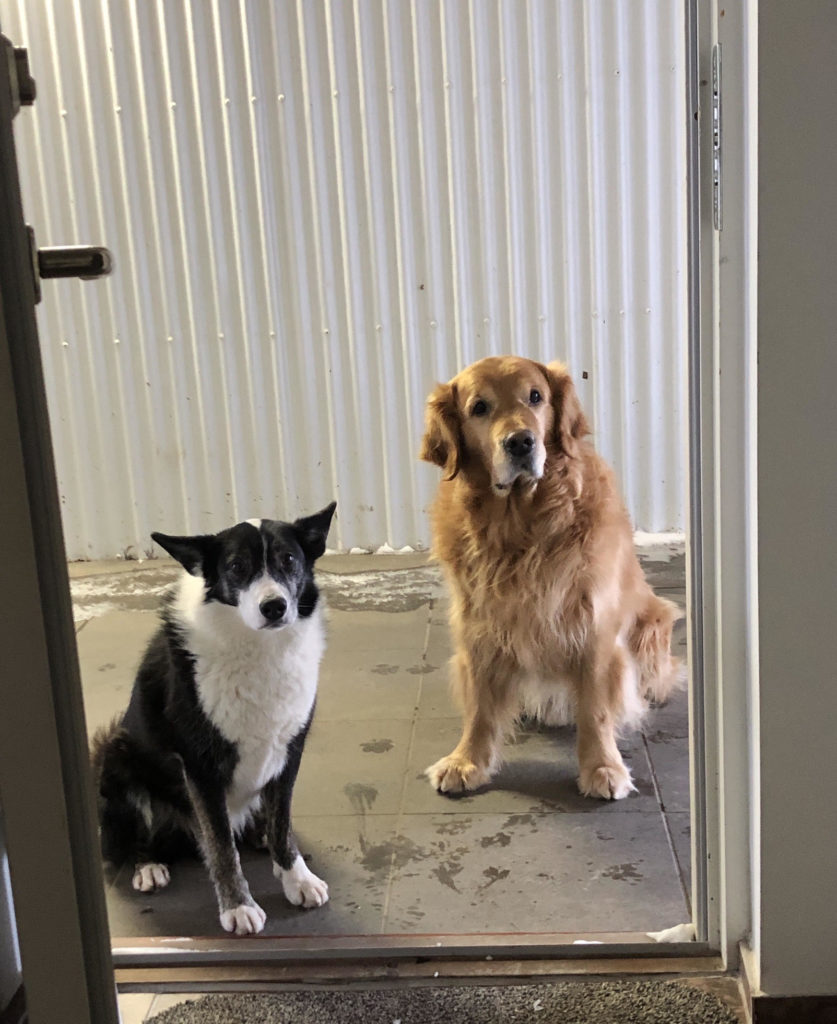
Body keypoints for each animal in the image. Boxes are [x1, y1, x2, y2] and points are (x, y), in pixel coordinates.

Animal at [90, 503, 336, 937]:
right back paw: (148, 865)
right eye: (236, 567)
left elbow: (283, 825)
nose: (274, 607)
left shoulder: (290, 752)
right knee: (129, 841)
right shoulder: (200, 768)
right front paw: (238, 907)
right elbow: (221, 847)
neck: (257, 647)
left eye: (289, 560)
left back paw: (258, 835)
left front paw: (296, 879)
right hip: (116, 752)